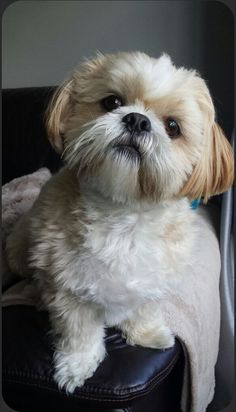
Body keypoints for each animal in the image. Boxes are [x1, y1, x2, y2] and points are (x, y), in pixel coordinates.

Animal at [6, 51, 234, 392]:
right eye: (112, 102)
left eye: (173, 126)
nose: (137, 120)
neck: (124, 214)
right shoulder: (68, 289)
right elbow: (79, 331)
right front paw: (77, 365)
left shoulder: (153, 282)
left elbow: (143, 309)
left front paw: (146, 334)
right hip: (20, 252)